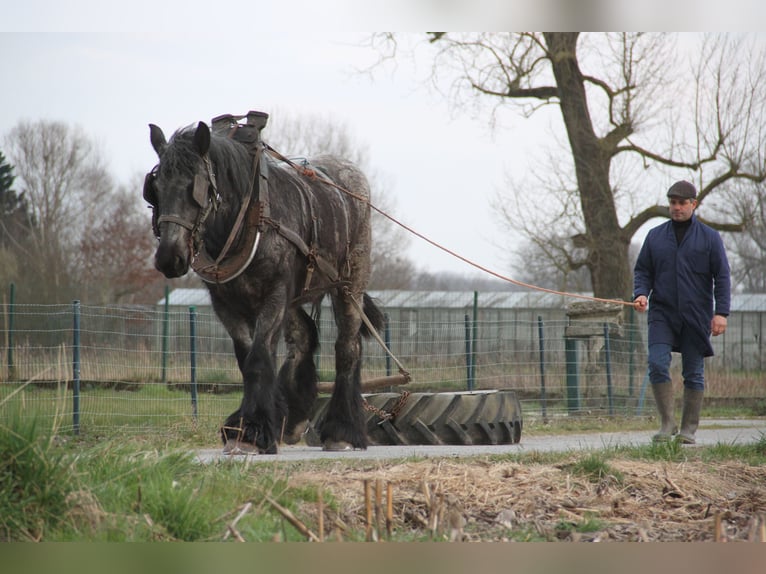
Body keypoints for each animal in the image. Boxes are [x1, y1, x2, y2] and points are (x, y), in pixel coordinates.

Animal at [143, 113, 384, 454]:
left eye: (195, 186)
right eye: (155, 189)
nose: (169, 257)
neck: (246, 220)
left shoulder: (274, 294)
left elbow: (259, 358)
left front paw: (252, 430)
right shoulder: (226, 304)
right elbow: (248, 360)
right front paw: (245, 427)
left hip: (349, 283)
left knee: (347, 347)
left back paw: (342, 430)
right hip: (296, 295)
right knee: (303, 338)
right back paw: (292, 416)